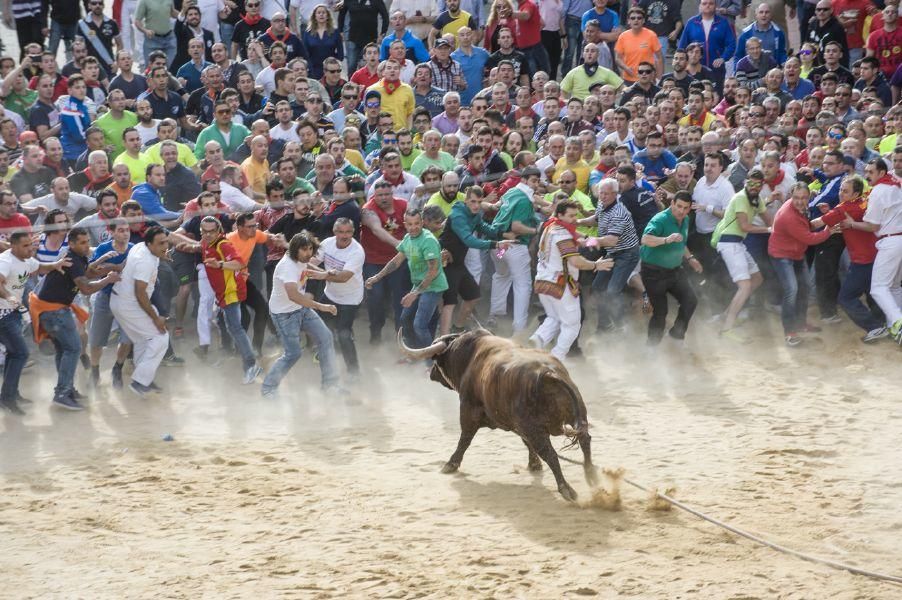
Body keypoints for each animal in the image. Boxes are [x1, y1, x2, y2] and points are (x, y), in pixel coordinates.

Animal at [400, 328, 596, 502]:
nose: (431, 373)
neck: (469, 355)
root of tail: (549, 373)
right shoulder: (517, 424)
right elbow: (526, 442)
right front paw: (534, 465)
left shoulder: (468, 411)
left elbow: (465, 439)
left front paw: (450, 465)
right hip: (576, 415)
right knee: (584, 439)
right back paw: (591, 475)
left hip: (534, 428)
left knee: (551, 454)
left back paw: (566, 488)